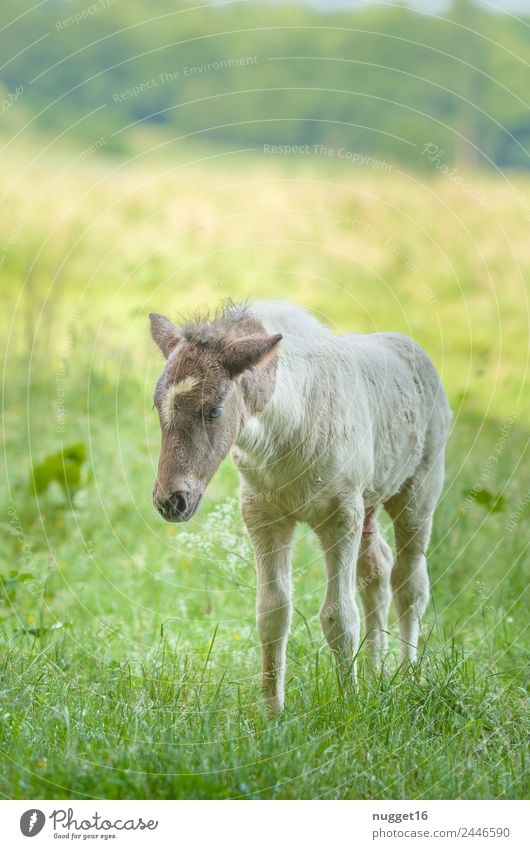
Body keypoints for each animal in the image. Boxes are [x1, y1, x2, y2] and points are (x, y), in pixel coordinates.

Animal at [150, 302, 450, 712]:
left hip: (418, 492)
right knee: (377, 570)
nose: (171, 501)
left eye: (213, 411)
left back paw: (408, 676)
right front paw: (271, 712)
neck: (290, 427)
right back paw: (375, 673)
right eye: (157, 406)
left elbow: (339, 616)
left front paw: (349, 705)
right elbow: (272, 613)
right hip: (369, 504)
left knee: (410, 581)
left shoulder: (341, 516)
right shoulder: (263, 516)